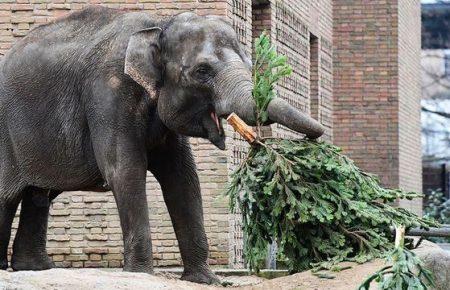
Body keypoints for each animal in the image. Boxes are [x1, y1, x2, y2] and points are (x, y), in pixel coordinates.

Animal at [0, 5, 324, 284]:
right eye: (202, 71)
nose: (311, 142)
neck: (158, 27)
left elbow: (183, 179)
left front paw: (205, 280)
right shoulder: (108, 92)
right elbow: (124, 170)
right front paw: (140, 274)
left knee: (39, 194)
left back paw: (34, 268)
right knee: (8, 195)